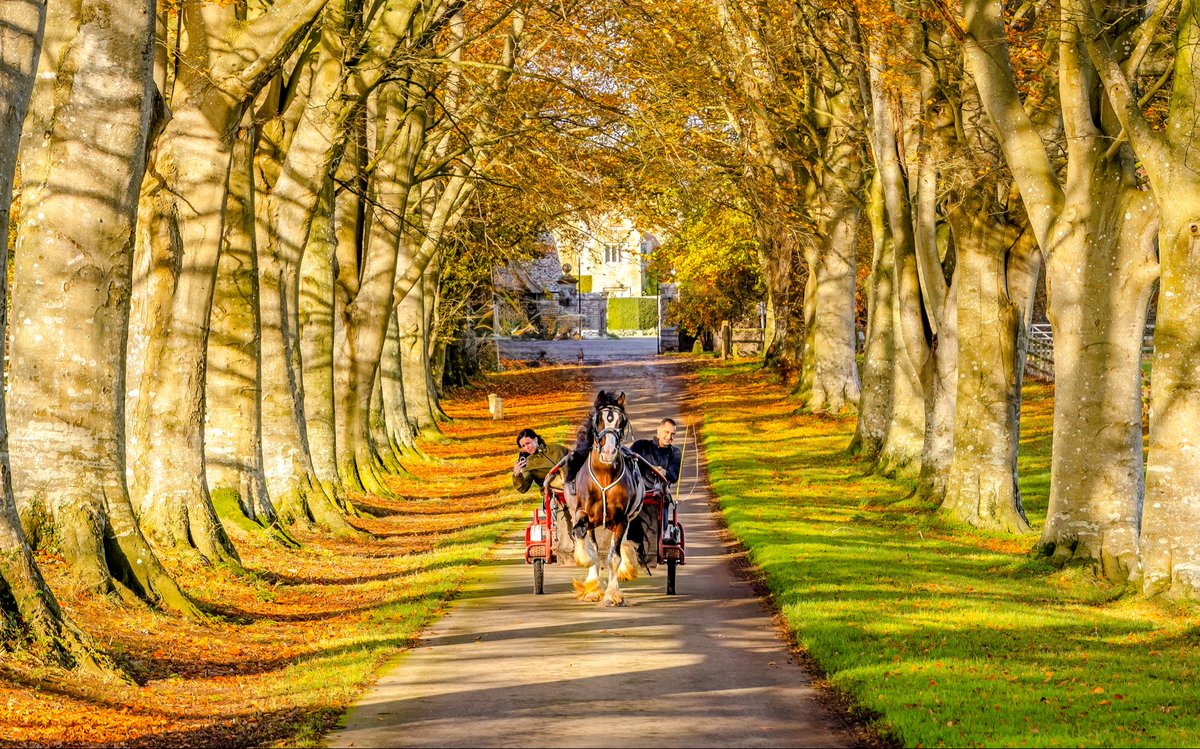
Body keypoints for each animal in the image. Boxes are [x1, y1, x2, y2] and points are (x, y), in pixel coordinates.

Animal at [569, 390, 645, 606]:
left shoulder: (621, 519)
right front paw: (591, 584)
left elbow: (614, 557)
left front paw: (612, 594)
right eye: (599, 420)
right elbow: (585, 541)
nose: (609, 452)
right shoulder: (585, 515)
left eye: (622, 421)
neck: (603, 476)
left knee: (621, 545)